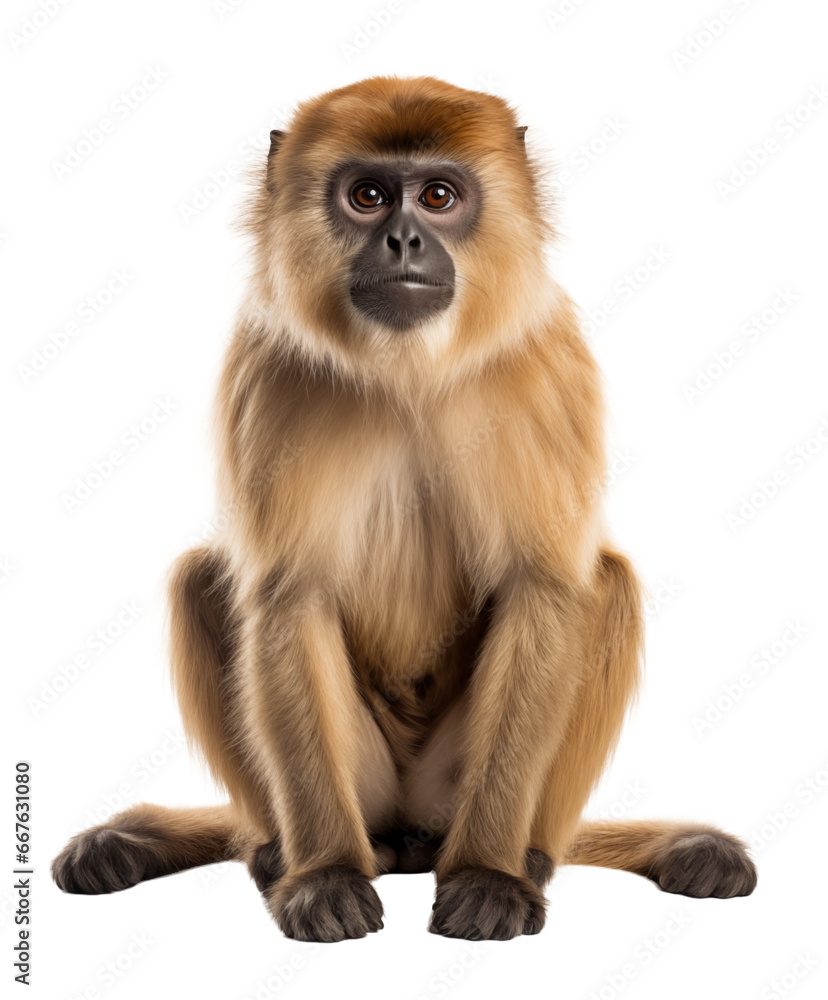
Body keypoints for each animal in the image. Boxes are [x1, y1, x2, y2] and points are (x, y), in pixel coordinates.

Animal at [52, 76, 757, 942]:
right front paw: (324, 875)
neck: (409, 371)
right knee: (200, 578)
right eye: (368, 196)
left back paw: (523, 857)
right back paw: (285, 852)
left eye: (439, 196)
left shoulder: (550, 359)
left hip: (447, 786)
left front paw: (488, 875)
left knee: (608, 579)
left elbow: (543, 587)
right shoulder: (268, 365)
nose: (403, 241)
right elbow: (289, 598)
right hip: (372, 788)